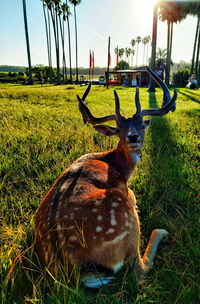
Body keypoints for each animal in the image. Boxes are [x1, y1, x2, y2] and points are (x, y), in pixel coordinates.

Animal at [35, 66, 177, 288]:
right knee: (138, 271)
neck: (114, 164)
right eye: (118, 129)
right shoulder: (127, 191)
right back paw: (160, 231)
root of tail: (71, 269)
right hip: (123, 214)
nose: (133, 136)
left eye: (141, 125)